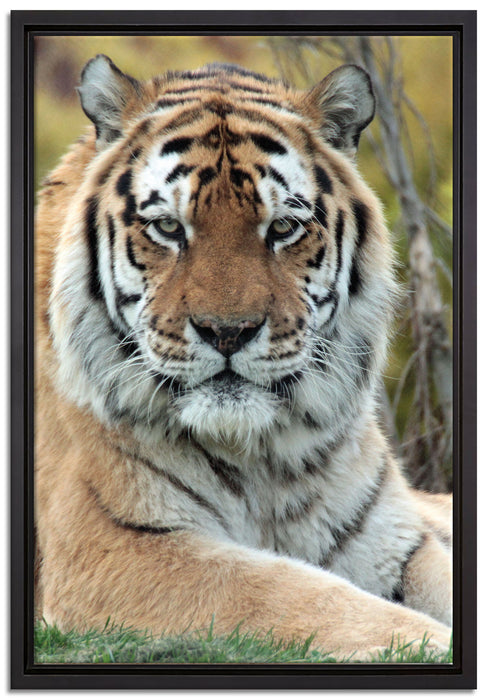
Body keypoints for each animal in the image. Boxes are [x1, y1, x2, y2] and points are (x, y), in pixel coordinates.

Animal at [35, 54, 452, 661]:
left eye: (282, 228)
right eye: (168, 227)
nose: (227, 332)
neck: (264, 457)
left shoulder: (395, 539)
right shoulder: (112, 546)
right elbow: (291, 591)